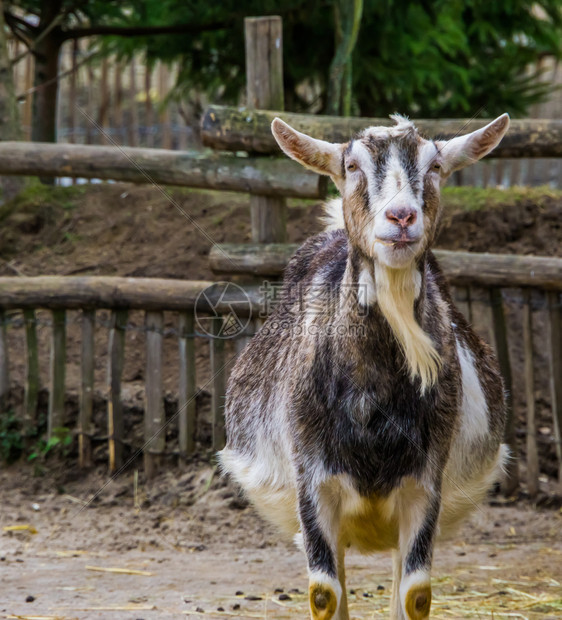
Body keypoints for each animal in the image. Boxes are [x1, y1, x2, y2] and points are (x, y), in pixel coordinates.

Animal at [218, 112, 508, 620]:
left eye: (435, 166)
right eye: (352, 165)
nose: (401, 217)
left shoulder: (425, 484)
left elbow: (415, 595)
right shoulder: (313, 484)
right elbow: (324, 594)